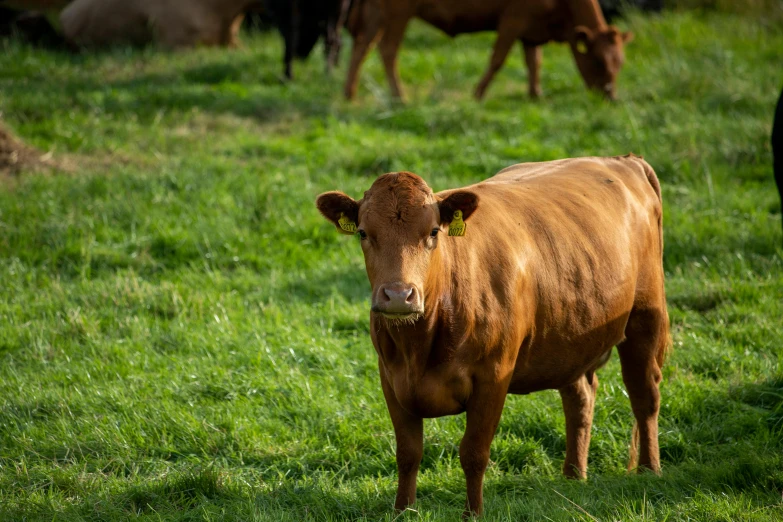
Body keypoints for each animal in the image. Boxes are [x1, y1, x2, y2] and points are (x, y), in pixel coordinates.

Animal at [316, 153, 672, 512]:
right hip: (569, 336)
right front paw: (403, 510)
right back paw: (573, 474)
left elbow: (473, 453)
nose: (399, 295)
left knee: (644, 396)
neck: (419, 346)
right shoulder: (391, 378)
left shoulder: (492, 377)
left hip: (646, 316)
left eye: (433, 231)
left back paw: (649, 470)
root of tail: (620, 159)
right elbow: (408, 453)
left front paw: (473, 513)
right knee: (580, 397)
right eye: (363, 232)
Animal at [344, 0, 632, 100]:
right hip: (398, 11)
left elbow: (534, 62)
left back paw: (351, 94)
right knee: (388, 49)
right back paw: (399, 96)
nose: (611, 96)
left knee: (362, 47)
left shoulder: (531, 31)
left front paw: (535, 94)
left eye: (620, 63)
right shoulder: (512, 19)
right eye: (598, 61)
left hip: (377, 11)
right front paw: (478, 94)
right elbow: (497, 59)